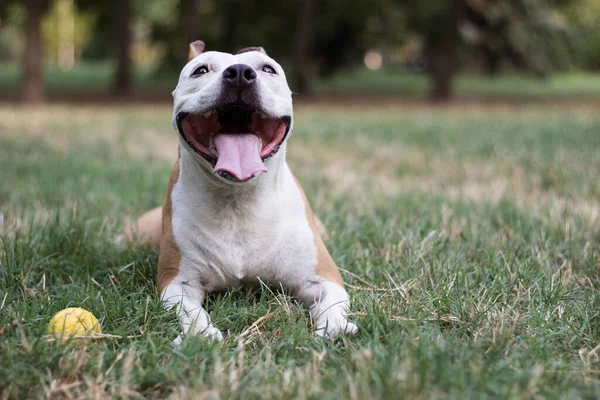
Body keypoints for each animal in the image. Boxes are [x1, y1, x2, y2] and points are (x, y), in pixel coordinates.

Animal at [126, 41, 356, 344]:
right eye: (201, 70)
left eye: (268, 69)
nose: (238, 73)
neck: (238, 199)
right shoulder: (177, 281)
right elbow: (190, 311)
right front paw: (200, 333)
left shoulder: (323, 277)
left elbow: (332, 304)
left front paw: (334, 328)